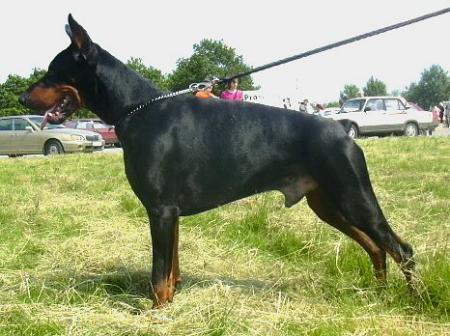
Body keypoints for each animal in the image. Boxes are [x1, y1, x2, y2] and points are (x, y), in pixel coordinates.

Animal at [21, 14, 414, 308]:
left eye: (53, 71)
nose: (23, 98)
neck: (138, 110)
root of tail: (342, 129)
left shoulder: (160, 210)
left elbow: (158, 273)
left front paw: (156, 313)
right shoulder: (170, 213)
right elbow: (172, 269)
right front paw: (169, 305)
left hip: (354, 196)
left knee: (400, 248)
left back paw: (412, 299)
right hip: (328, 204)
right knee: (377, 248)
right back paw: (378, 295)